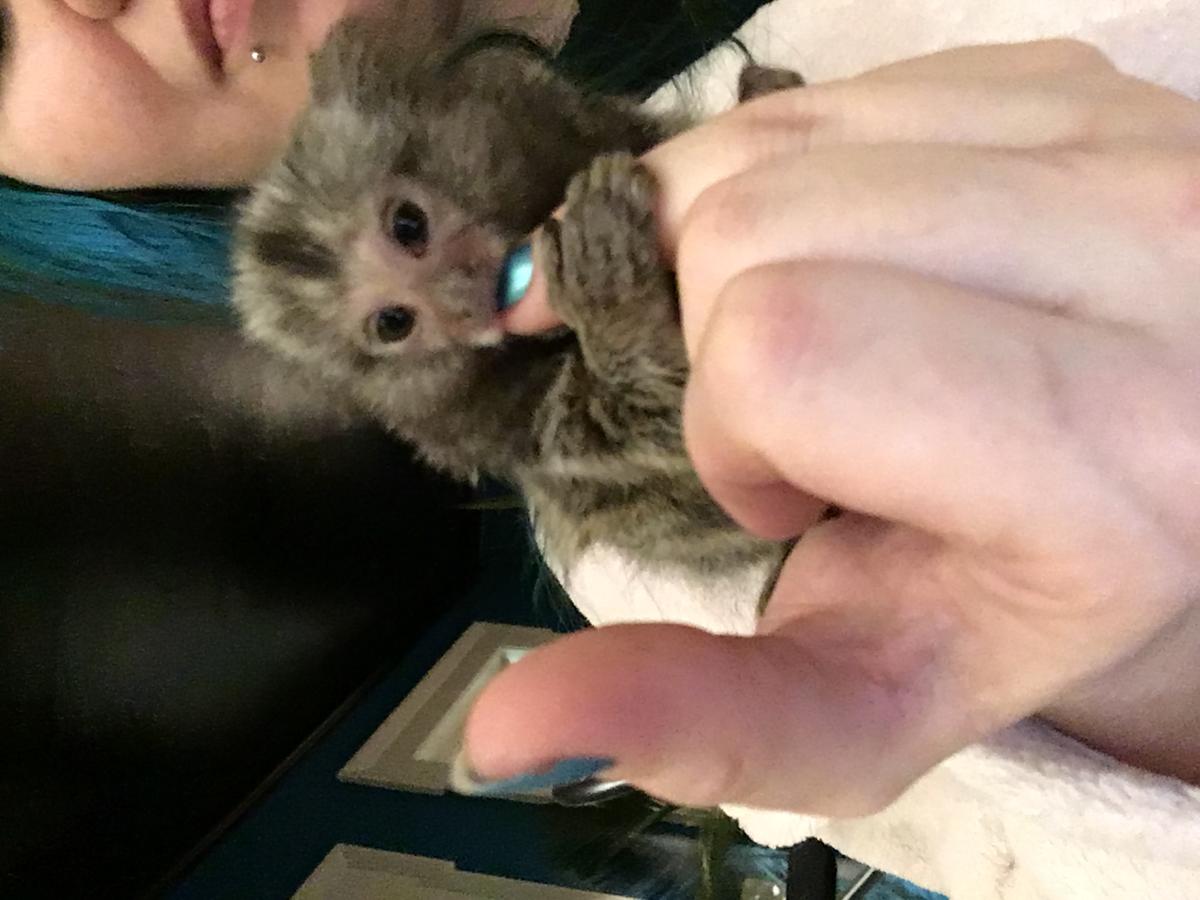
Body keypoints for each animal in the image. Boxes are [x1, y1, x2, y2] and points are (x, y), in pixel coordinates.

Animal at [232, 18, 805, 583]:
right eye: (394, 323)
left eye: (408, 224)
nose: (466, 303)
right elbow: (695, 462)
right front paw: (615, 302)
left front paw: (765, 96)